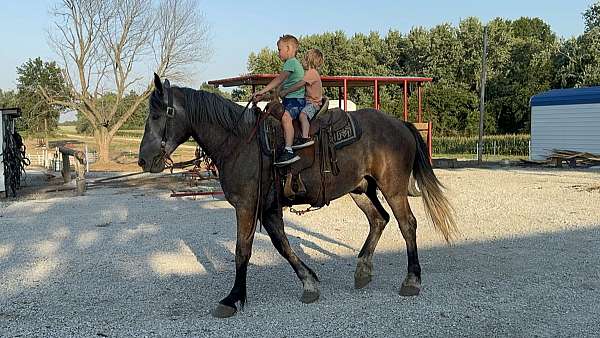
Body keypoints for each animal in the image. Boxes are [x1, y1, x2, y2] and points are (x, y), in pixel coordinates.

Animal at [139, 74, 460, 316]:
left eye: (156, 115)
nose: (143, 160)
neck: (239, 142)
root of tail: (399, 123)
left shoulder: (247, 205)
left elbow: (243, 250)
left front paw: (232, 298)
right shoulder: (268, 208)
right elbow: (282, 245)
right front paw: (309, 283)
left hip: (392, 188)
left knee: (407, 225)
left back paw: (412, 280)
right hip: (360, 188)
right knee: (379, 219)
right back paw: (363, 271)